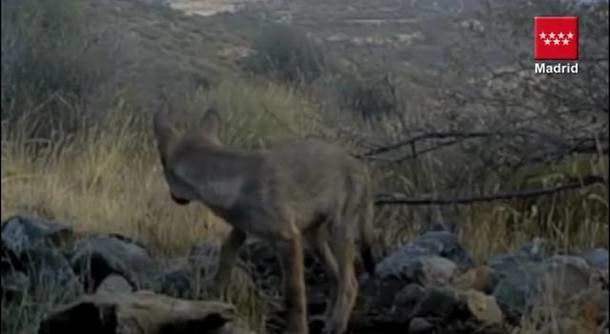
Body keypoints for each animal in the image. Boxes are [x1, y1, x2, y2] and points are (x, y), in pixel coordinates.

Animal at [151, 108, 376, 332]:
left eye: (162, 163)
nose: (174, 197)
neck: (236, 184)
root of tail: (361, 165)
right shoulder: (242, 229)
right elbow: (225, 260)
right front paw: (215, 299)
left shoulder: (288, 239)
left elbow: (294, 299)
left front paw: (298, 329)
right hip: (314, 240)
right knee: (336, 277)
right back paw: (327, 319)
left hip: (336, 233)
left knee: (350, 285)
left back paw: (336, 325)